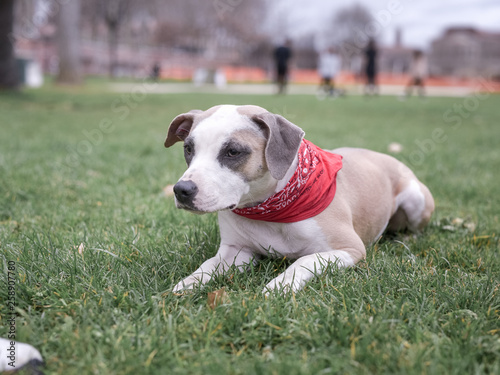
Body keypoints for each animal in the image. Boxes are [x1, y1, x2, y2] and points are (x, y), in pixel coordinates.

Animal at [165, 105, 434, 294]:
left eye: (233, 152)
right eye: (188, 149)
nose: (181, 190)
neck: (270, 207)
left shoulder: (348, 248)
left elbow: (304, 260)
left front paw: (278, 286)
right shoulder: (235, 252)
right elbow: (206, 266)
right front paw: (186, 284)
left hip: (416, 199)